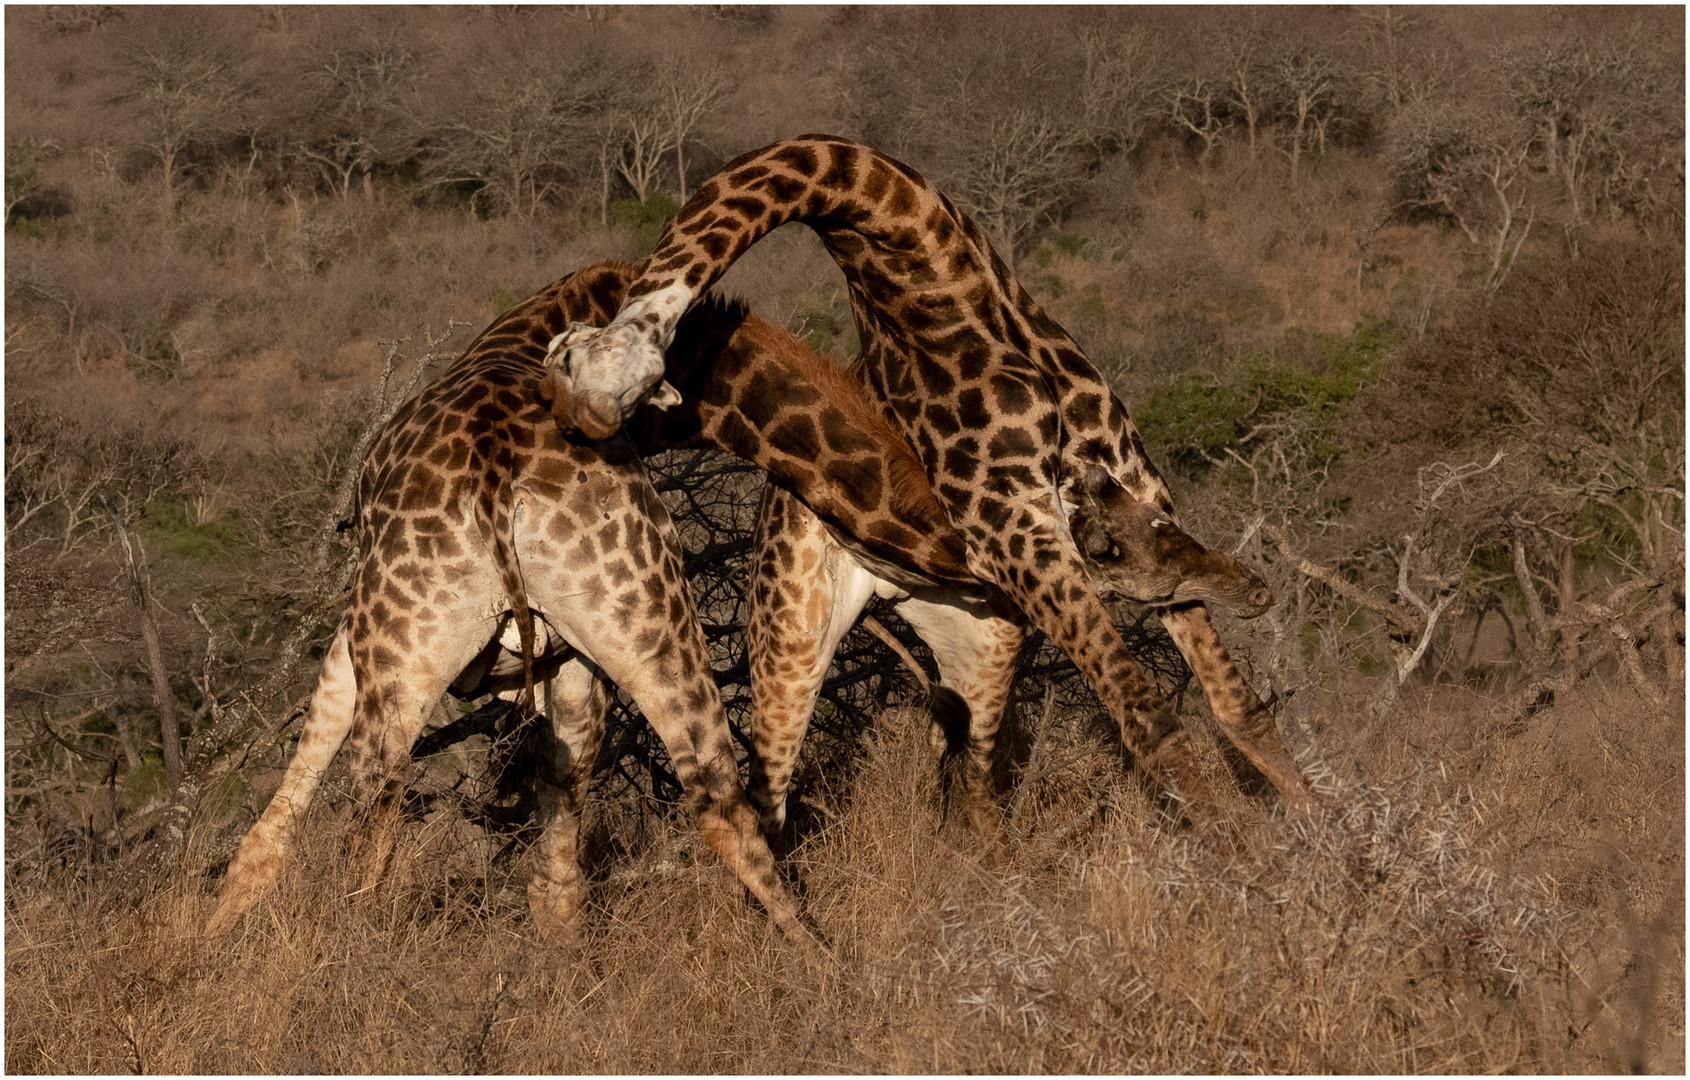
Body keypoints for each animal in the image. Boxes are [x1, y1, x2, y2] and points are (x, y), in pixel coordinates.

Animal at [211, 256, 1270, 939]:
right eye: (1113, 531)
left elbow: (297, 802)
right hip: (575, 616)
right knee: (719, 792)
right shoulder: (531, 654)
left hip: (517, 622)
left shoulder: (472, 653)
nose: (1247, 587)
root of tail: (495, 462)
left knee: (380, 804)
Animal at [547, 136, 1311, 828]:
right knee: (770, 799)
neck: (950, 291)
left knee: (971, 783)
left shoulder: (1136, 497)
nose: (572, 420)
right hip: (790, 641)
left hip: (982, 643)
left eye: (570, 367)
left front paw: (1317, 838)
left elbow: (1239, 708)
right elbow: (1150, 717)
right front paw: (1252, 865)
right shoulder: (1024, 535)